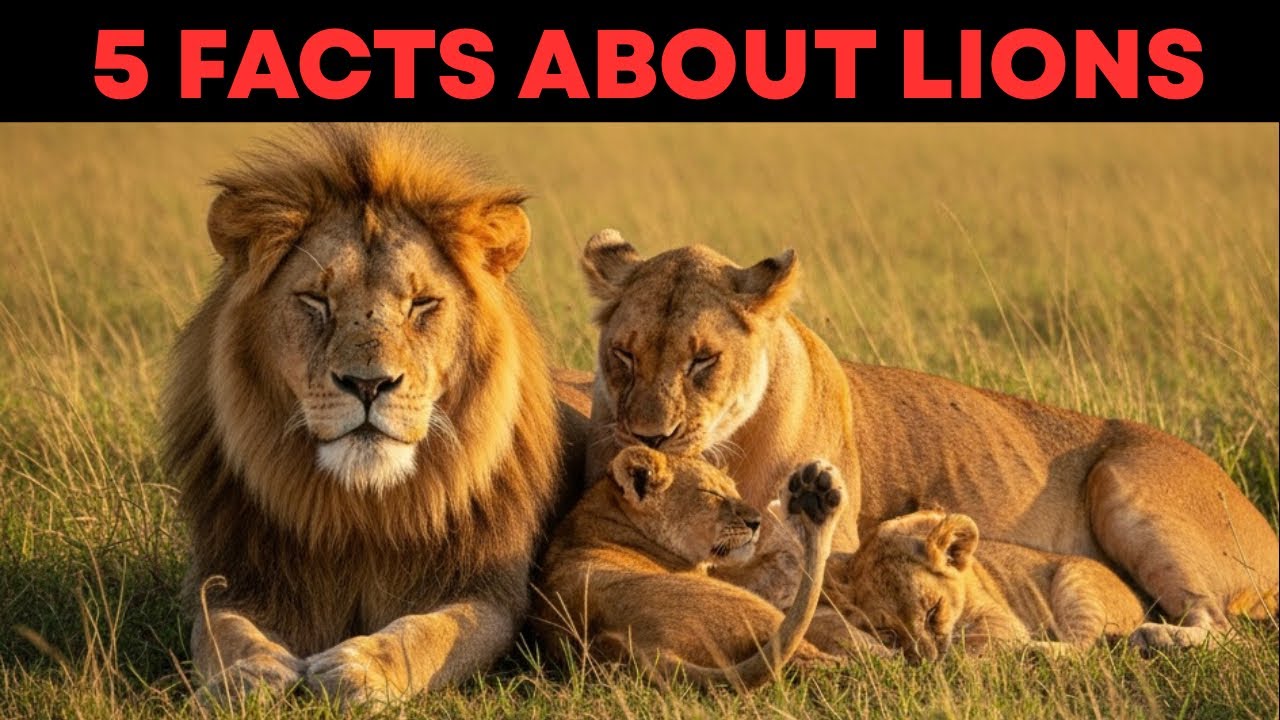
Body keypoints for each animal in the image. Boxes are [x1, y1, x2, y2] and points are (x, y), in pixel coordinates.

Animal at [163, 124, 590, 706]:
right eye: (316, 300)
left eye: (422, 303)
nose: (368, 384)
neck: (363, 509)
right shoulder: (232, 574)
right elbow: (220, 628)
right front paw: (249, 675)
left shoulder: (492, 593)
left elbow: (431, 632)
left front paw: (361, 668)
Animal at [533, 449, 848, 689]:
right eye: (712, 494)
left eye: (735, 490)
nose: (757, 521)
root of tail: (645, 649)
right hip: (746, 605)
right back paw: (818, 499)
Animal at [829, 510, 1148, 662]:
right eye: (887, 631)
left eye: (933, 611)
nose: (926, 663)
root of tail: (1139, 605)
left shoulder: (1001, 618)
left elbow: (974, 642)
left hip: (1075, 580)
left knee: (1085, 646)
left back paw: (1036, 650)